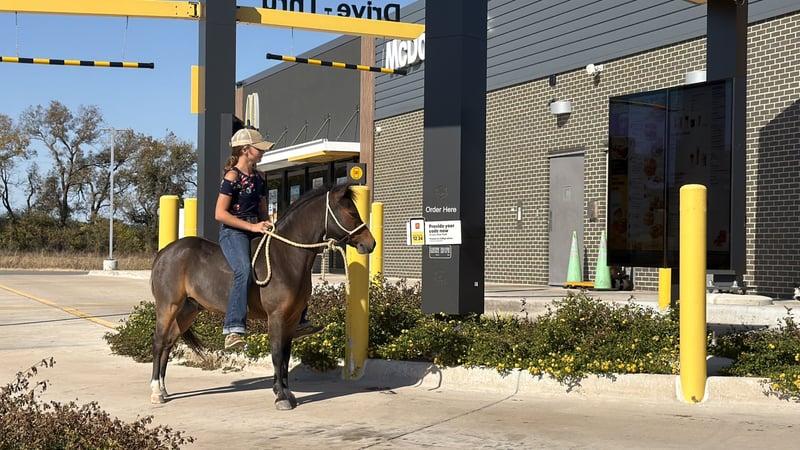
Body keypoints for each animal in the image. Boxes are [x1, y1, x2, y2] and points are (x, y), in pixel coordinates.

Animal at [149, 183, 376, 410]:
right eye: (352, 213)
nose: (371, 243)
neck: (284, 257)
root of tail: (165, 253)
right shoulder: (276, 316)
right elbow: (276, 354)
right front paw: (281, 396)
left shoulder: (292, 319)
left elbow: (285, 356)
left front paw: (286, 393)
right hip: (168, 306)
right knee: (159, 342)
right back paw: (155, 392)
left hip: (188, 310)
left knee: (169, 343)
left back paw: (163, 389)